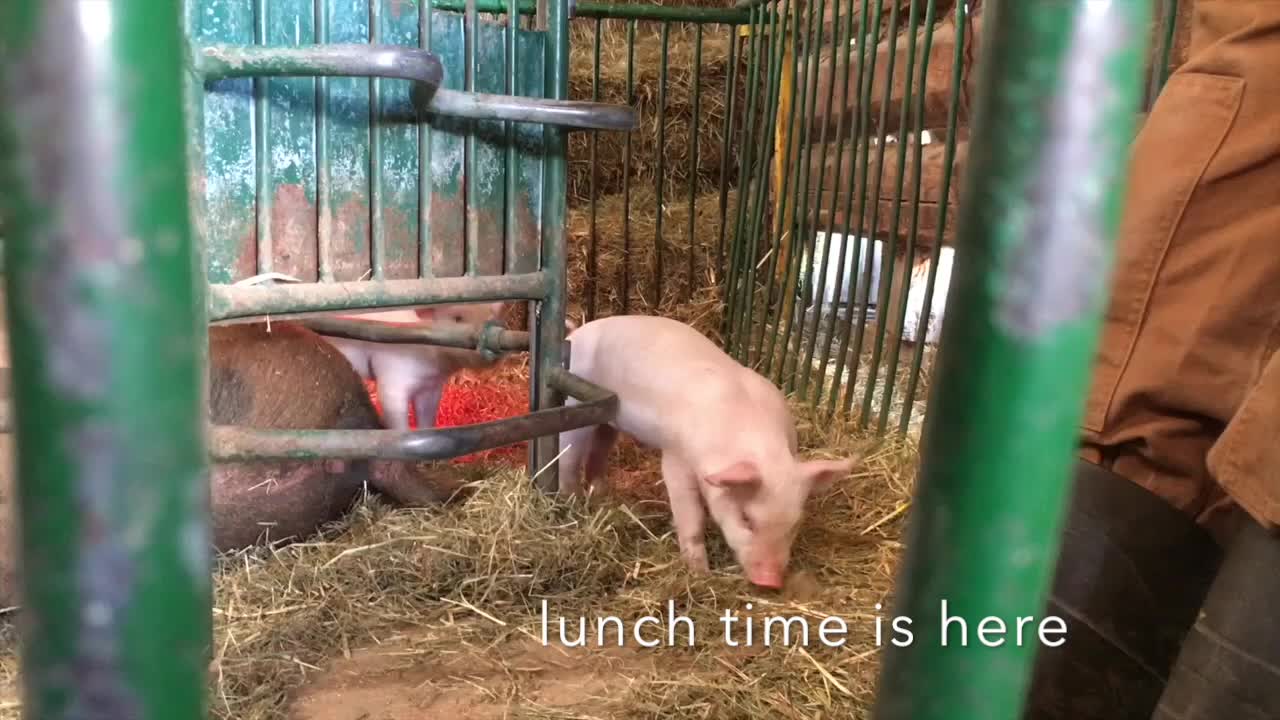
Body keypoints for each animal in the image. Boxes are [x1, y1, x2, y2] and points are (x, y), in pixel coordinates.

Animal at [560, 315, 860, 589]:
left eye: (794, 525)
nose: (770, 582)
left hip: (609, 421)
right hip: (576, 404)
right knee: (568, 454)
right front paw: (700, 574)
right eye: (746, 519)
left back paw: (601, 495)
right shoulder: (676, 457)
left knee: (599, 450)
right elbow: (690, 516)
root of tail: (577, 333)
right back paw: (571, 501)